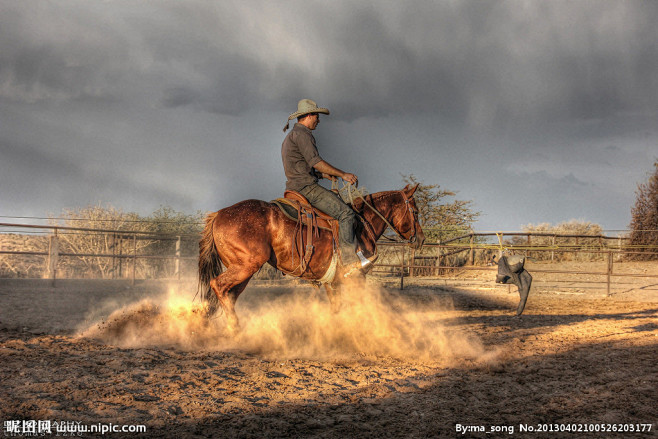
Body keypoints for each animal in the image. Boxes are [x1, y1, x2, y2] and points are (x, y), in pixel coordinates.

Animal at [197, 184, 422, 332]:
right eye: (416, 211)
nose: (420, 238)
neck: (361, 225)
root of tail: (218, 214)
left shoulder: (332, 282)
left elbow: (336, 308)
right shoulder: (357, 278)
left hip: (242, 270)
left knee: (228, 295)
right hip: (245, 267)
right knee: (218, 285)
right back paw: (233, 328)